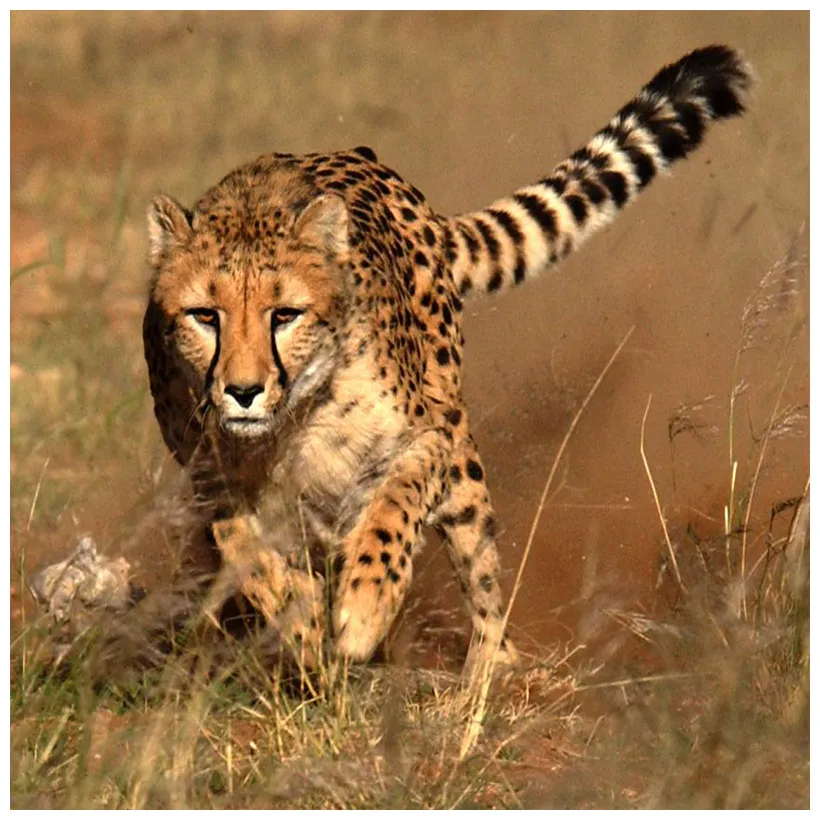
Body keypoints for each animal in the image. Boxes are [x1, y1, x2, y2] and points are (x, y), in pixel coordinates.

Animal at [143, 45, 752, 676]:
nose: (242, 391)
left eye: (284, 315)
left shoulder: (427, 441)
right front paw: (303, 623)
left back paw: (488, 674)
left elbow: (393, 512)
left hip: (460, 459)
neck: (290, 422)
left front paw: (364, 608)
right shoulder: (210, 479)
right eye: (204, 315)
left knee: (481, 573)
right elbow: (246, 549)